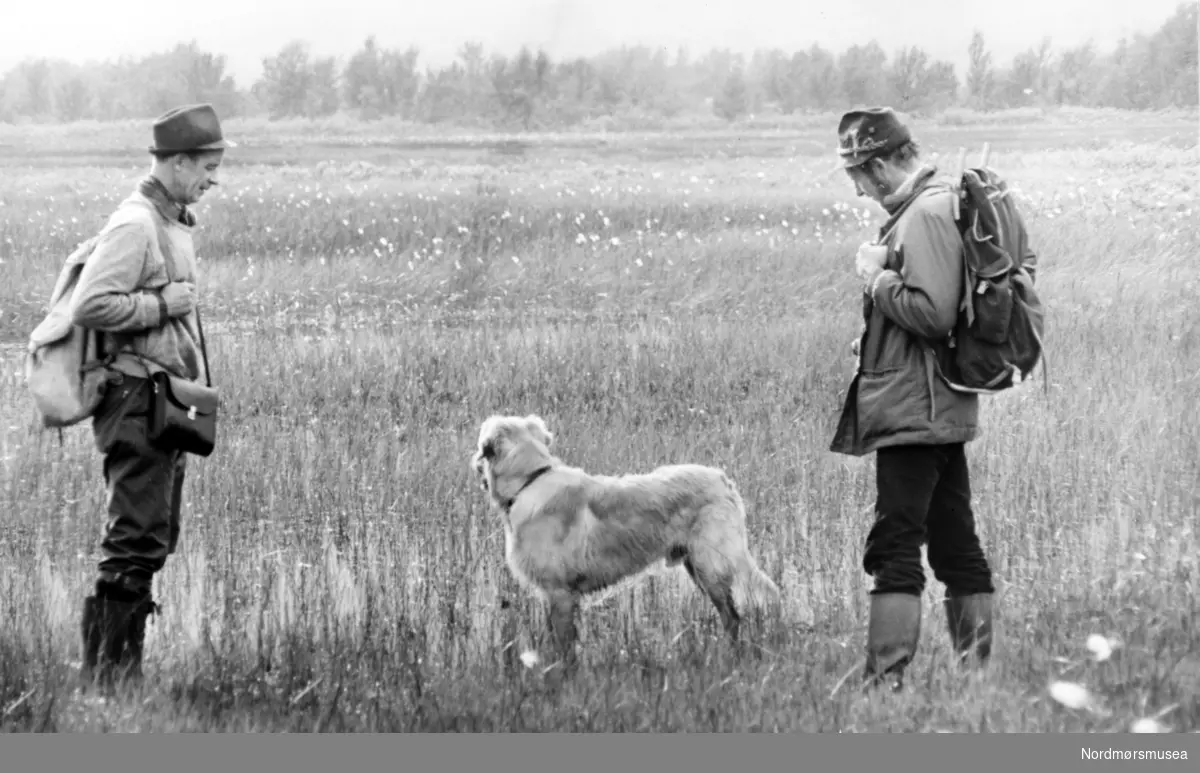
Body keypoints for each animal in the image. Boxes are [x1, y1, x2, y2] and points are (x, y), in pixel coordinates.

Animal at [468, 410, 777, 672]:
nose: (474, 464)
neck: (530, 481)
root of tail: (721, 479)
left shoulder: (560, 593)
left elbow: (564, 647)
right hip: (697, 567)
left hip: (710, 566)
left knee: (732, 617)